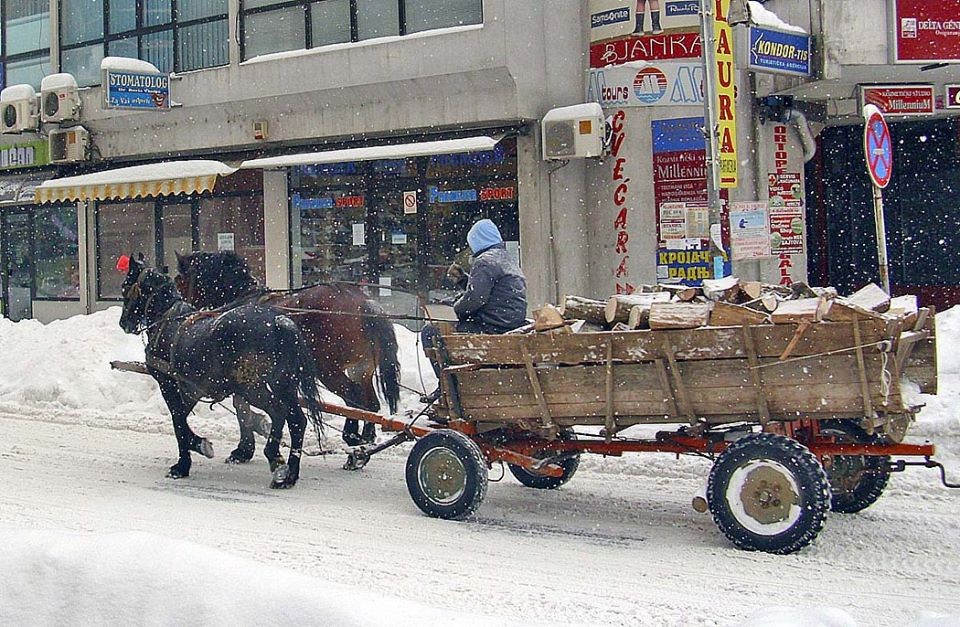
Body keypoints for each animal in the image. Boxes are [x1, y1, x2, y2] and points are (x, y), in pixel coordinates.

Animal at [118, 256, 322, 490]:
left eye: (125, 288)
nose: (123, 323)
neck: (167, 320)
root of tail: (279, 322)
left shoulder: (168, 383)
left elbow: (178, 421)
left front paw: (184, 463)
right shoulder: (191, 388)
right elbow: (182, 419)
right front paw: (197, 446)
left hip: (253, 388)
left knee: (279, 412)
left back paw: (276, 460)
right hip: (283, 384)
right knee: (297, 420)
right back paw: (290, 475)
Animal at [174, 250, 400, 456]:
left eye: (180, 281)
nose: (183, 313)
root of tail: (363, 305)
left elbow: (241, 407)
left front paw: (243, 449)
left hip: (328, 370)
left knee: (353, 398)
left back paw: (351, 436)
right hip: (361, 369)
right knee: (370, 403)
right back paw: (366, 439)